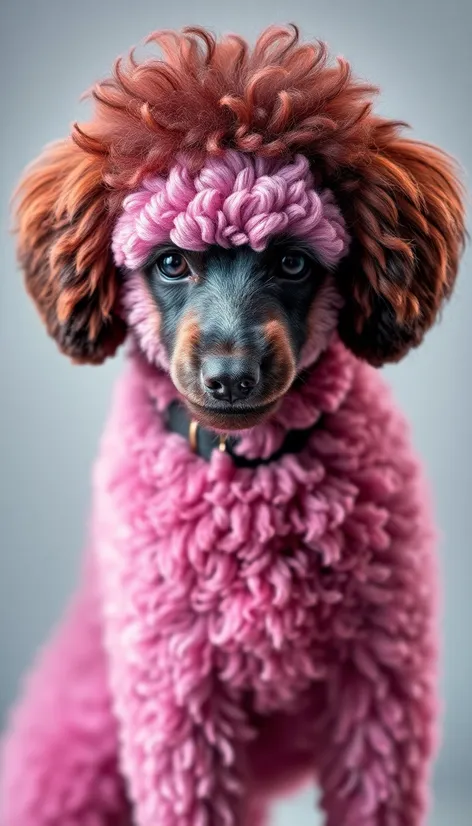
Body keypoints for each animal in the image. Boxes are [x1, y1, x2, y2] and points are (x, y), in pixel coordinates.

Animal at [0, 22, 464, 824]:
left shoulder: (380, 691)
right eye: (171, 263)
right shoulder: (178, 703)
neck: (251, 472)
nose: (230, 376)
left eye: (292, 262)